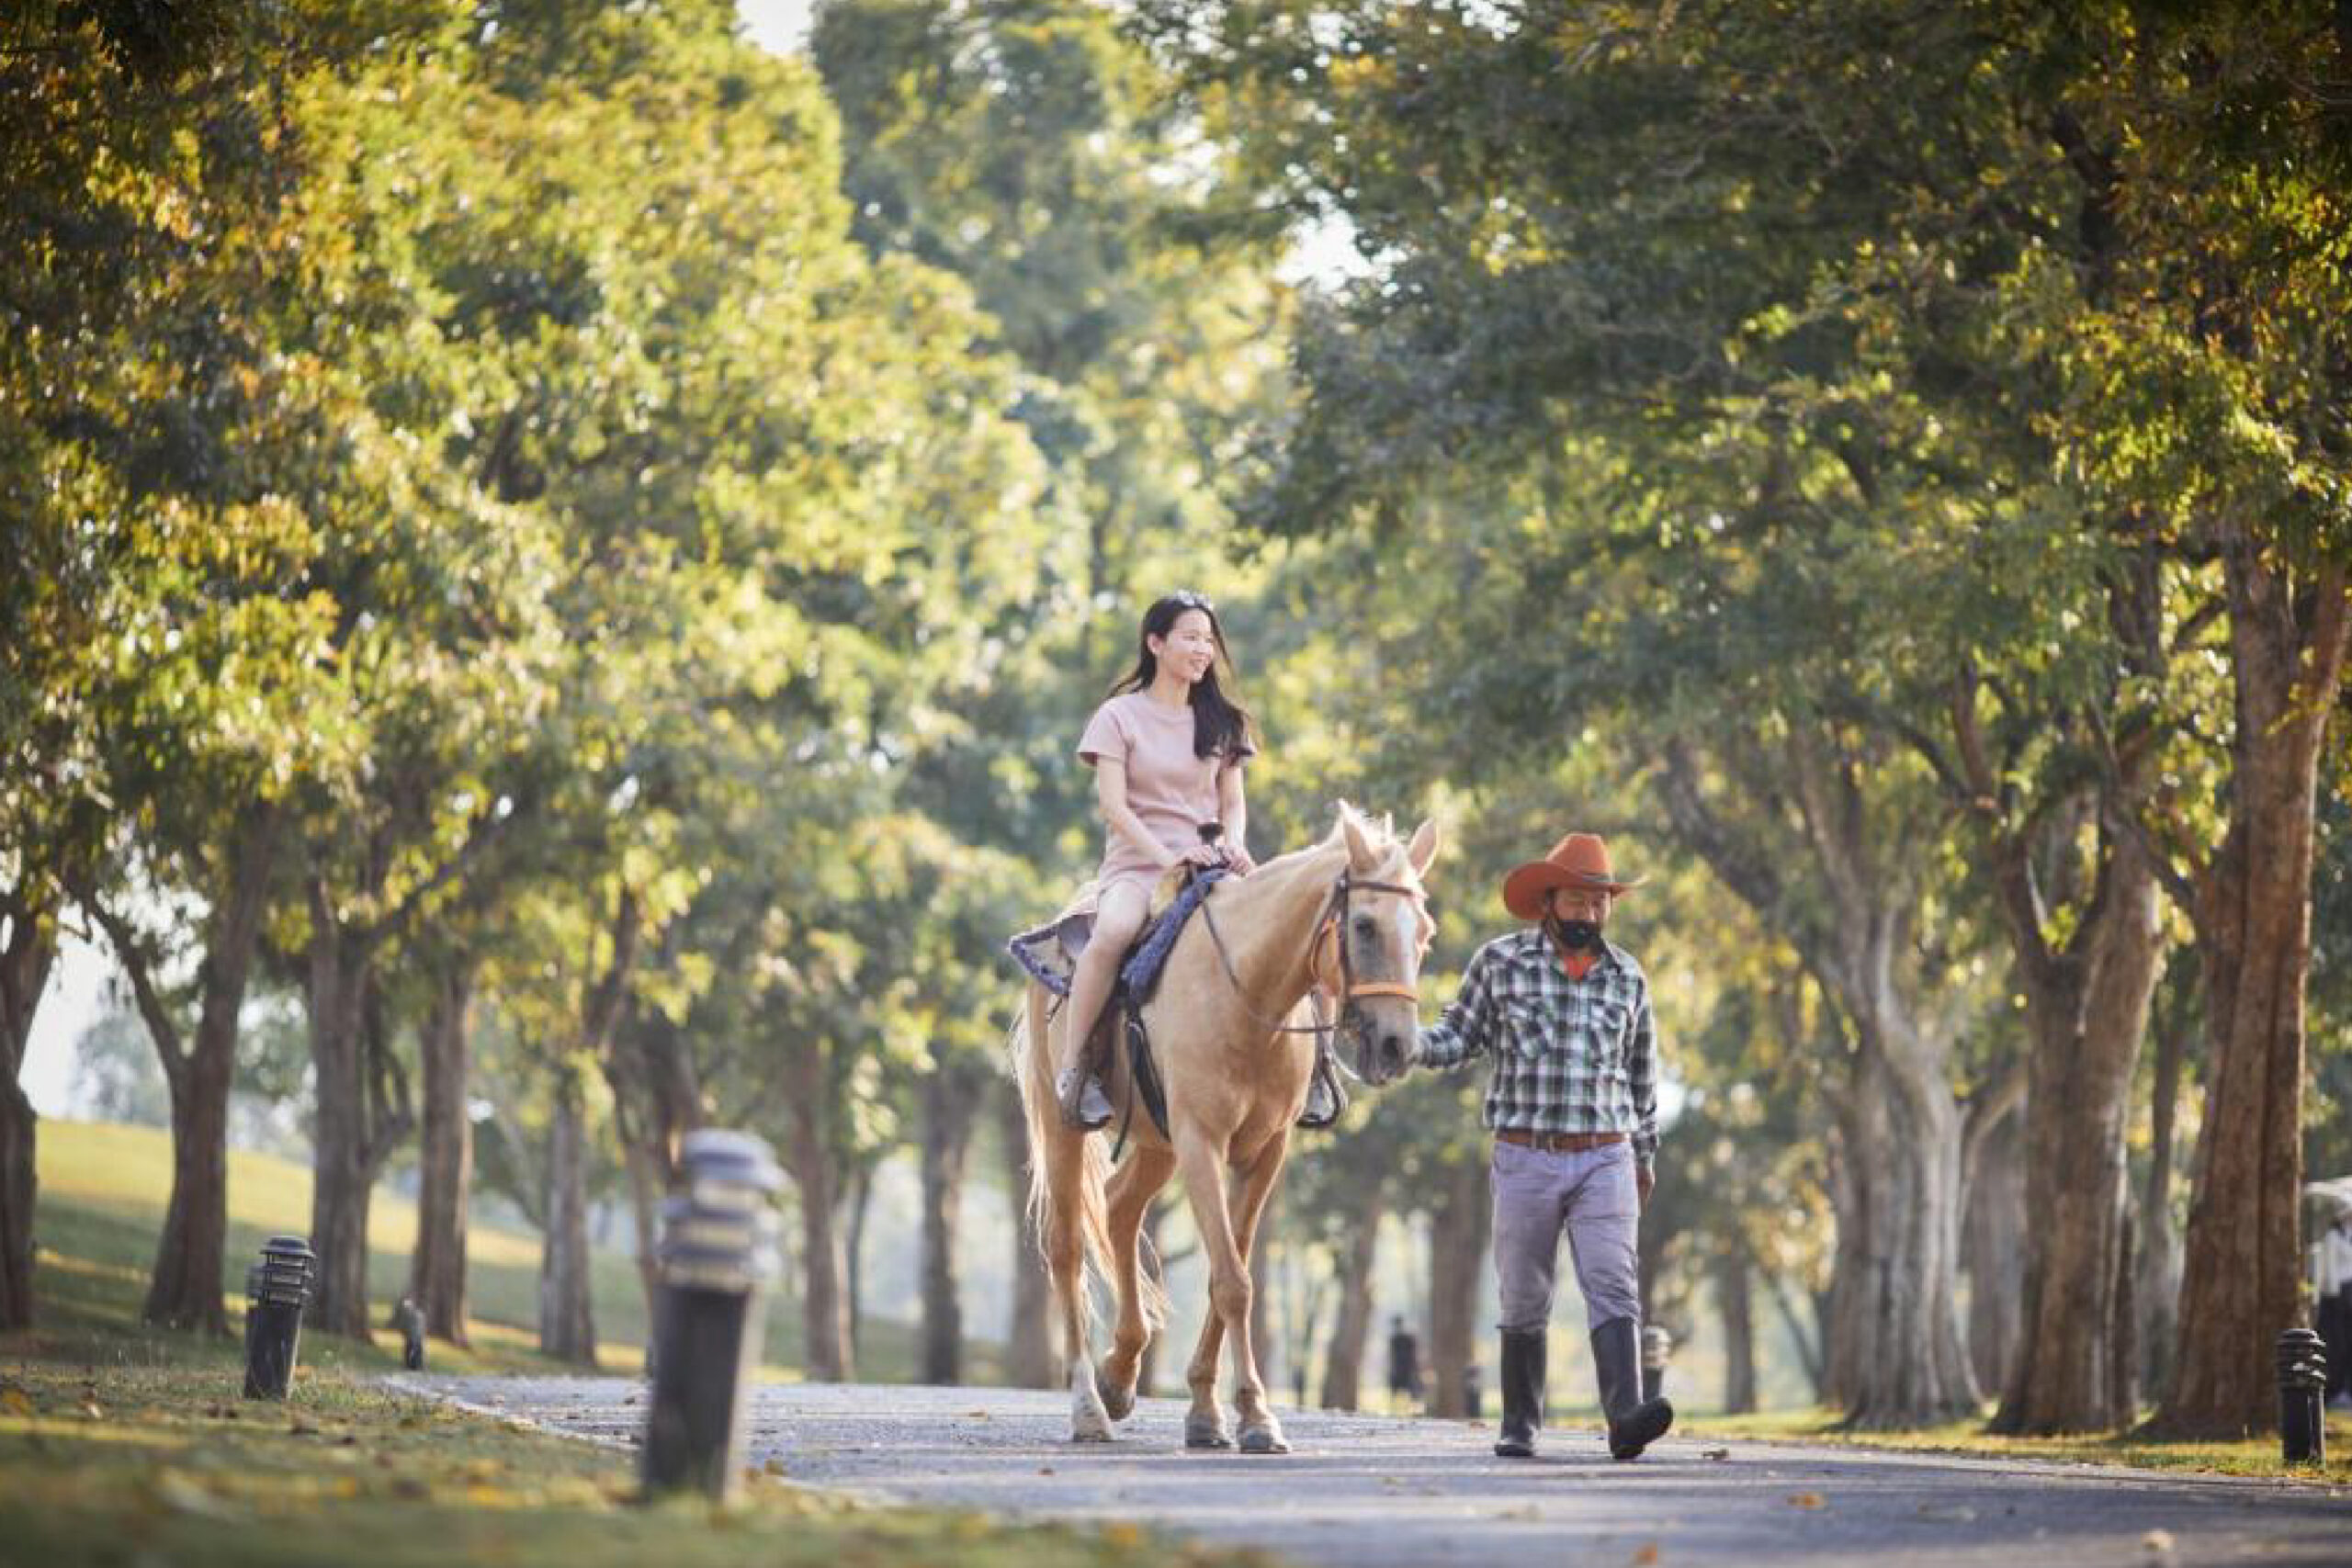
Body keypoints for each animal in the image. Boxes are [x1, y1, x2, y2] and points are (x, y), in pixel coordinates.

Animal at [1011, 804, 1430, 1457]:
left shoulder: (1263, 1152)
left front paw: (1210, 1413)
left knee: (1119, 1208)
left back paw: (1119, 1375)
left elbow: (1225, 1270)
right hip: (1069, 1126)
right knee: (1067, 1245)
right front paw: (1255, 1417)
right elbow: (1233, 1281)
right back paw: (1087, 1407)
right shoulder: (1201, 1140)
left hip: (1157, 1142)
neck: (1246, 992)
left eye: (1425, 932)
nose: (1397, 1046)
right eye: (1363, 926)